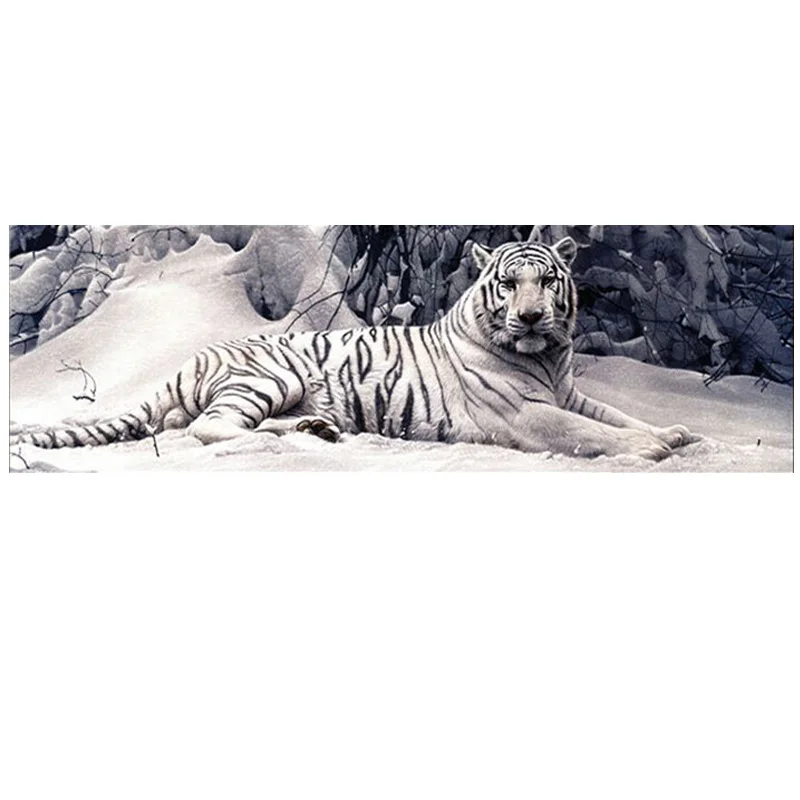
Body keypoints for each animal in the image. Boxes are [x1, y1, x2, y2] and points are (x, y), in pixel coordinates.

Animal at [10, 237, 698, 460]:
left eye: (547, 280)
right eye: (508, 284)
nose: (530, 316)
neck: (546, 356)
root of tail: (191, 359)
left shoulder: (569, 393)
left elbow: (616, 415)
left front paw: (678, 432)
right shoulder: (525, 412)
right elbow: (594, 433)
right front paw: (651, 450)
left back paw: (318, 431)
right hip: (269, 378)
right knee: (211, 427)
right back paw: (291, 442)